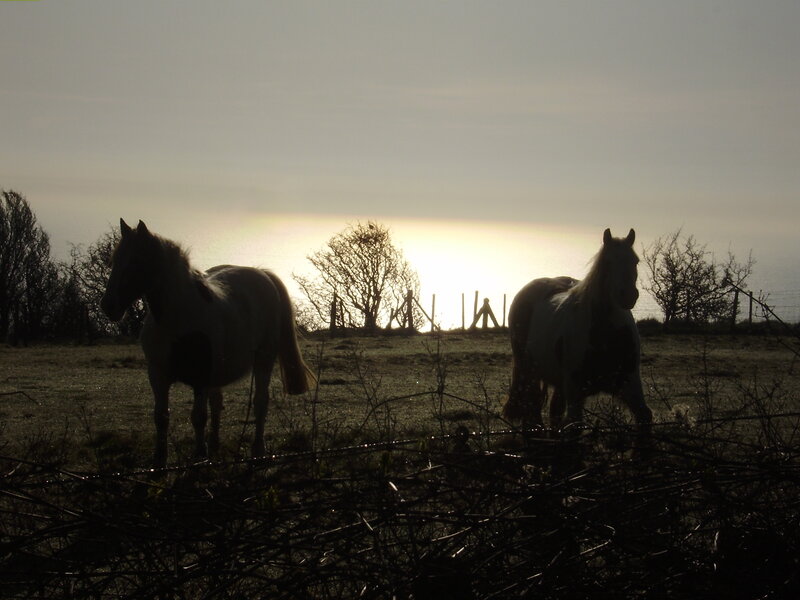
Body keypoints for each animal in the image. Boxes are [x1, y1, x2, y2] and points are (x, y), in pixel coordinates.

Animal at [101, 219, 316, 467]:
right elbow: (161, 416)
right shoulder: (158, 375)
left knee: (260, 402)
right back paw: (214, 447)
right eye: (114, 261)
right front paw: (160, 461)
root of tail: (262, 273)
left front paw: (198, 457)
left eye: (137, 261)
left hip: (264, 359)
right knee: (217, 404)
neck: (178, 320)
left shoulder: (200, 378)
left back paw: (257, 451)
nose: (108, 306)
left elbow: (198, 417)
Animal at [503, 228, 652, 442]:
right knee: (531, 407)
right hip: (529, 370)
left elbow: (644, 416)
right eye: (607, 262)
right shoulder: (575, 391)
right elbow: (573, 426)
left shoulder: (630, 382)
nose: (628, 296)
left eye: (635, 261)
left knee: (552, 410)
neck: (605, 336)